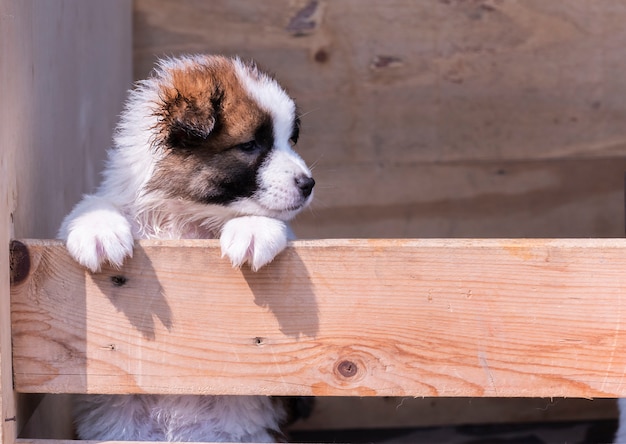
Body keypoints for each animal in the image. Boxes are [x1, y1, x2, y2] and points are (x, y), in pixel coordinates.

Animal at [58, 54, 314, 440]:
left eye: (290, 139)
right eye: (250, 145)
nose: (308, 183)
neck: (184, 214)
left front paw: (253, 229)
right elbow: (94, 204)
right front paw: (99, 232)